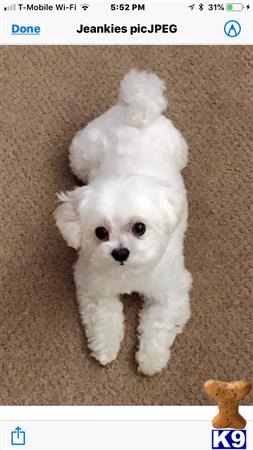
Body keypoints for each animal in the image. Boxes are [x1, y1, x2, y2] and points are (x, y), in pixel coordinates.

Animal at [53, 68, 192, 374]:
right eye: (100, 232)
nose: (120, 252)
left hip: (180, 152)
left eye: (139, 228)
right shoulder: (95, 287)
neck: (129, 274)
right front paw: (105, 349)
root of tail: (134, 113)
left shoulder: (171, 290)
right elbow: (103, 319)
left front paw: (151, 359)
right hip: (80, 156)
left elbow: (158, 324)